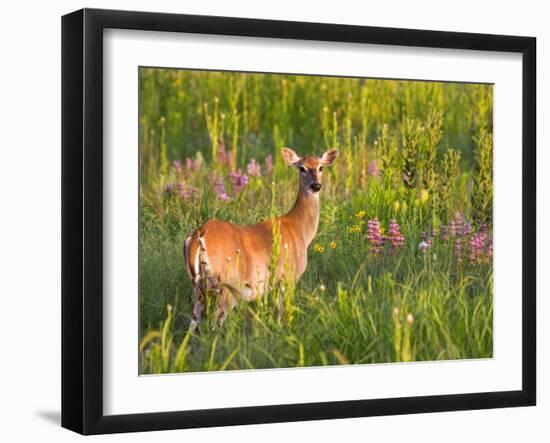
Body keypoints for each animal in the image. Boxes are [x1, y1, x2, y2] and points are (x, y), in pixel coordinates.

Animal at [185, 147, 338, 332]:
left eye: (321, 167)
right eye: (302, 168)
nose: (316, 186)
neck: (299, 230)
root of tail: (199, 236)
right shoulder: (288, 277)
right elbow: (283, 315)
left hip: (198, 287)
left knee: (192, 324)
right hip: (226, 284)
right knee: (215, 323)